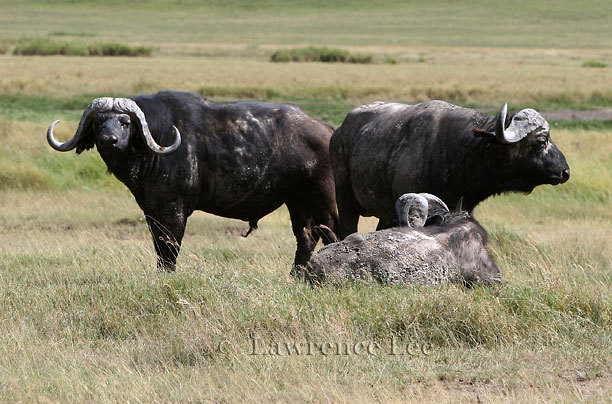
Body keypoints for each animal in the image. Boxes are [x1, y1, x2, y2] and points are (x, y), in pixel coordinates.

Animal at [47, 91, 338, 272]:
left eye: (125, 122)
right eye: (98, 122)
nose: (109, 140)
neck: (153, 146)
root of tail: (326, 129)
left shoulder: (175, 210)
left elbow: (169, 250)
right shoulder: (151, 211)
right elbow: (159, 248)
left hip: (324, 202)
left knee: (331, 235)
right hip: (297, 203)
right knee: (306, 238)